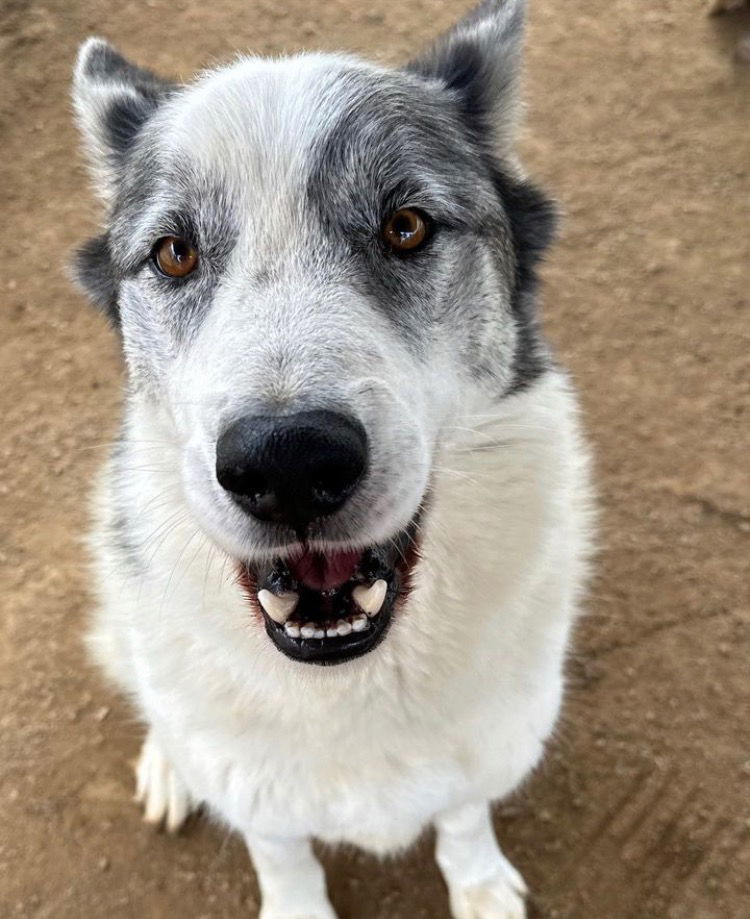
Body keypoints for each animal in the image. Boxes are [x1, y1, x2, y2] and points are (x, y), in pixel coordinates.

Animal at [73, 3, 596, 916]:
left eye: (406, 226)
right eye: (174, 253)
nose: (286, 463)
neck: (353, 676)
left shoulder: (488, 745)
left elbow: (463, 818)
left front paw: (479, 885)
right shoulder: (258, 795)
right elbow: (284, 856)